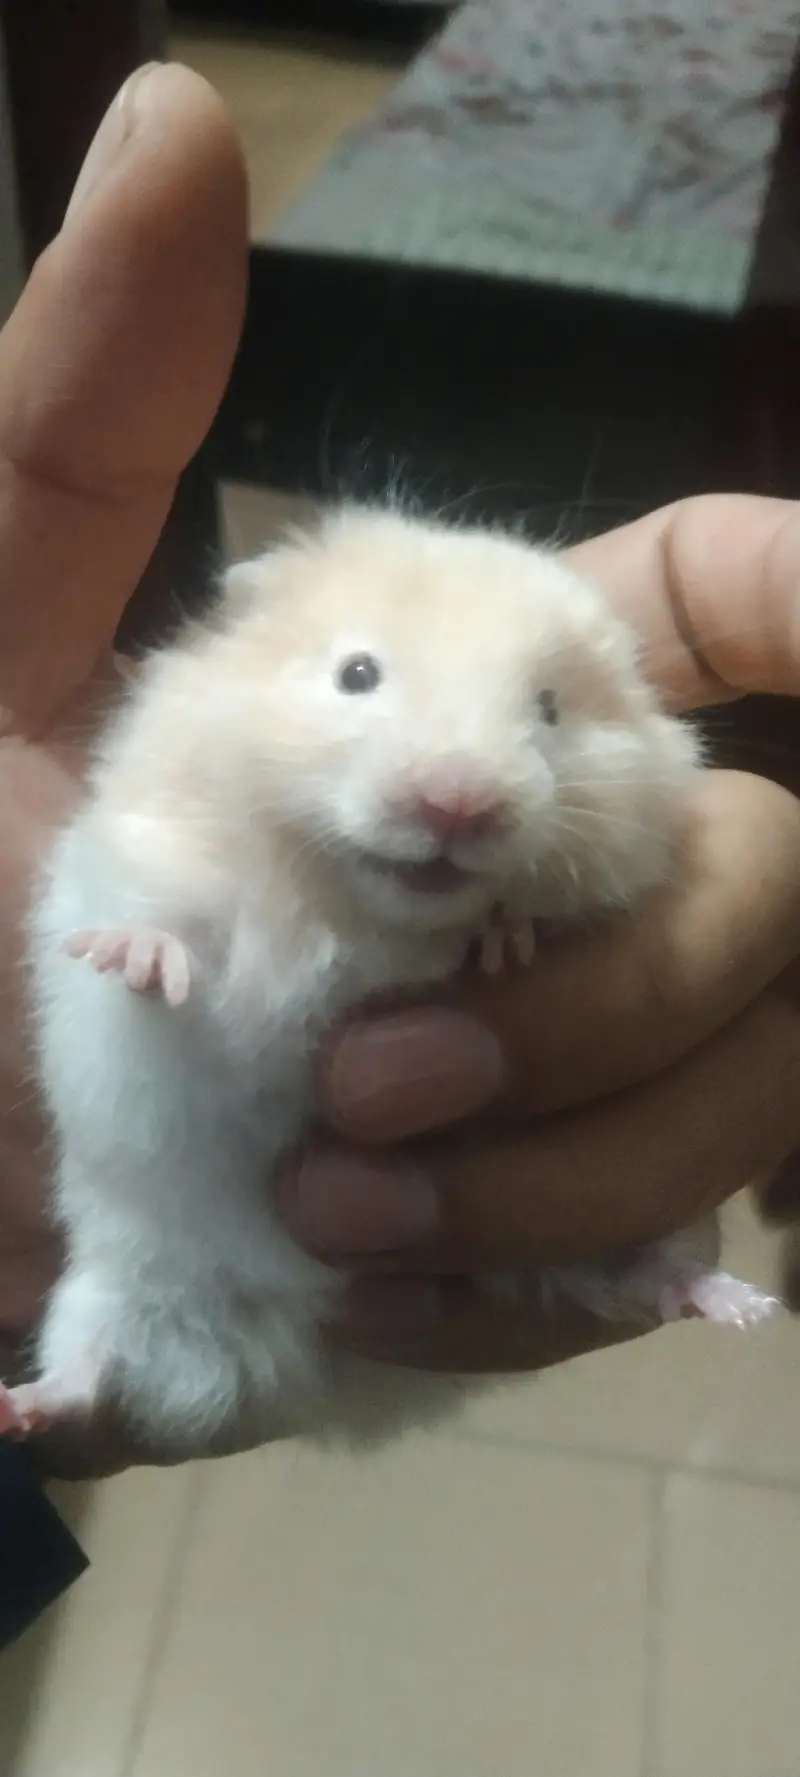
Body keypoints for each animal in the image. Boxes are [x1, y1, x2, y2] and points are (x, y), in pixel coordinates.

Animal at [1, 507, 776, 1454]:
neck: (359, 909)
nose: (457, 803)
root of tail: (297, 1362)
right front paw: (135, 958)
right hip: (108, 1281)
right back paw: (17, 1406)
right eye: (356, 674)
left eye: (550, 708)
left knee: (651, 1274)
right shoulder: (166, 885)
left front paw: (507, 938)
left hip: (615, 1242)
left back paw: (744, 1305)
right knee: (84, 1373)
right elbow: (173, 936)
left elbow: (550, 913)